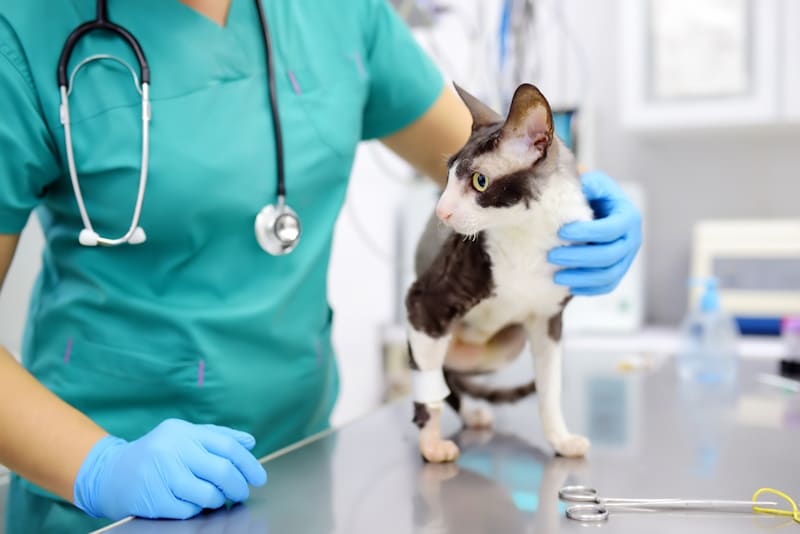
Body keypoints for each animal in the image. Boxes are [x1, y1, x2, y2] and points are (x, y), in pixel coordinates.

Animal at [406, 81, 592, 462]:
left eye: (480, 181)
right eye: (448, 175)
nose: (441, 211)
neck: (529, 235)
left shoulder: (549, 321)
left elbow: (549, 388)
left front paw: (560, 440)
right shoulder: (424, 302)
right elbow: (428, 389)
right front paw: (431, 445)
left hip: (507, 346)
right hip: (434, 333)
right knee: (437, 372)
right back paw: (466, 414)